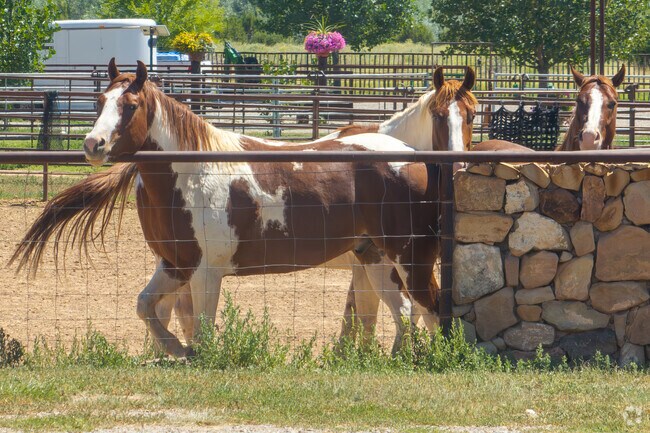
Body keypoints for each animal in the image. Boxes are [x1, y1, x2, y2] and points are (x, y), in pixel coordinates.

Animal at [11, 59, 443, 357]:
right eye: (100, 101)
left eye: (130, 105)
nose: (92, 145)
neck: (193, 174)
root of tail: (416, 158)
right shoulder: (175, 264)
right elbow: (146, 306)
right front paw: (176, 349)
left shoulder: (206, 272)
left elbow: (201, 327)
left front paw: (194, 353)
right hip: (374, 257)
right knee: (405, 310)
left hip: (410, 257)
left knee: (430, 307)